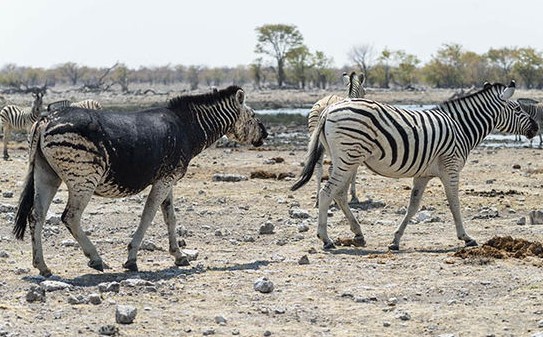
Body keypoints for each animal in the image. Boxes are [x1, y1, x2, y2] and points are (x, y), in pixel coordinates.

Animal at [15, 84, 270, 276]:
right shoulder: (165, 179)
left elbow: (170, 218)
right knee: (70, 216)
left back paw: (43, 266)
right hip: (83, 179)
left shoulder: (167, 179)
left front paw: (179, 256)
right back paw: (96, 259)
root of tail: (46, 120)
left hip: (47, 175)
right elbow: (148, 216)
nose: (266, 134)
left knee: (36, 216)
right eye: (254, 115)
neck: (188, 127)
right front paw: (131, 259)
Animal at [308, 70, 368, 205]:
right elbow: (353, 171)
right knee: (331, 168)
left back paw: (318, 200)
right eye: (365, 92)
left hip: (317, 140)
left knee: (318, 168)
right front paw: (354, 196)